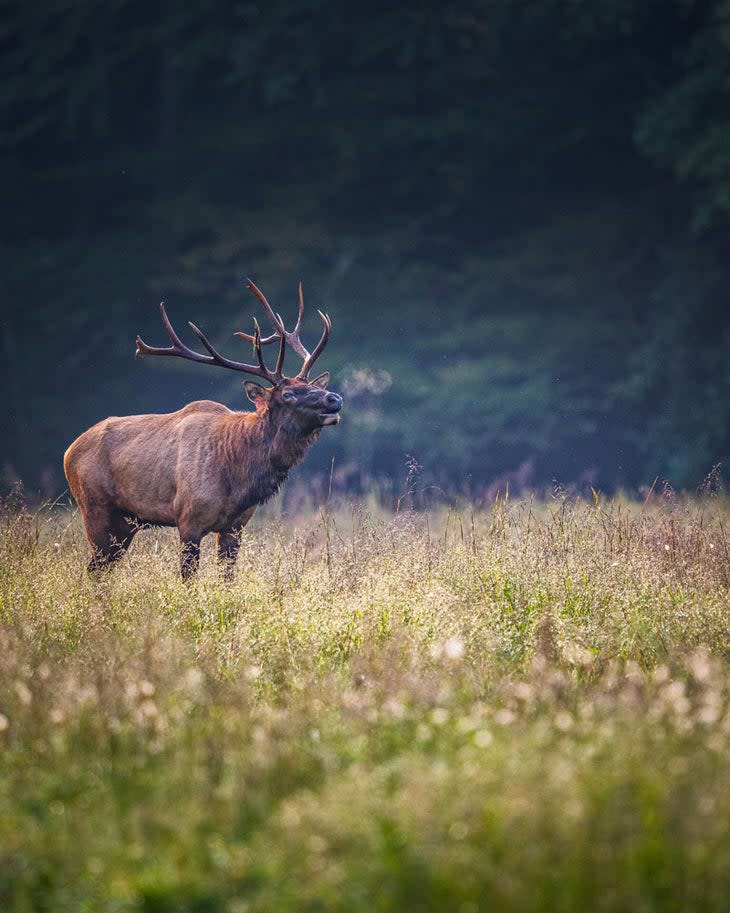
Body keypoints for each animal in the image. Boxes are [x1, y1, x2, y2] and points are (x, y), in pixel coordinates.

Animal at [62, 280, 342, 576]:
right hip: (94, 507)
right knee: (94, 568)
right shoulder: (188, 519)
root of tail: (69, 451)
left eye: (312, 385)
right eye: (288, 394)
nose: (334, 399)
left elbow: (228, 577)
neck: (238, 478)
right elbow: (189, 577)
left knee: (100, 569)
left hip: (126, 523)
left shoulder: (235, 526)